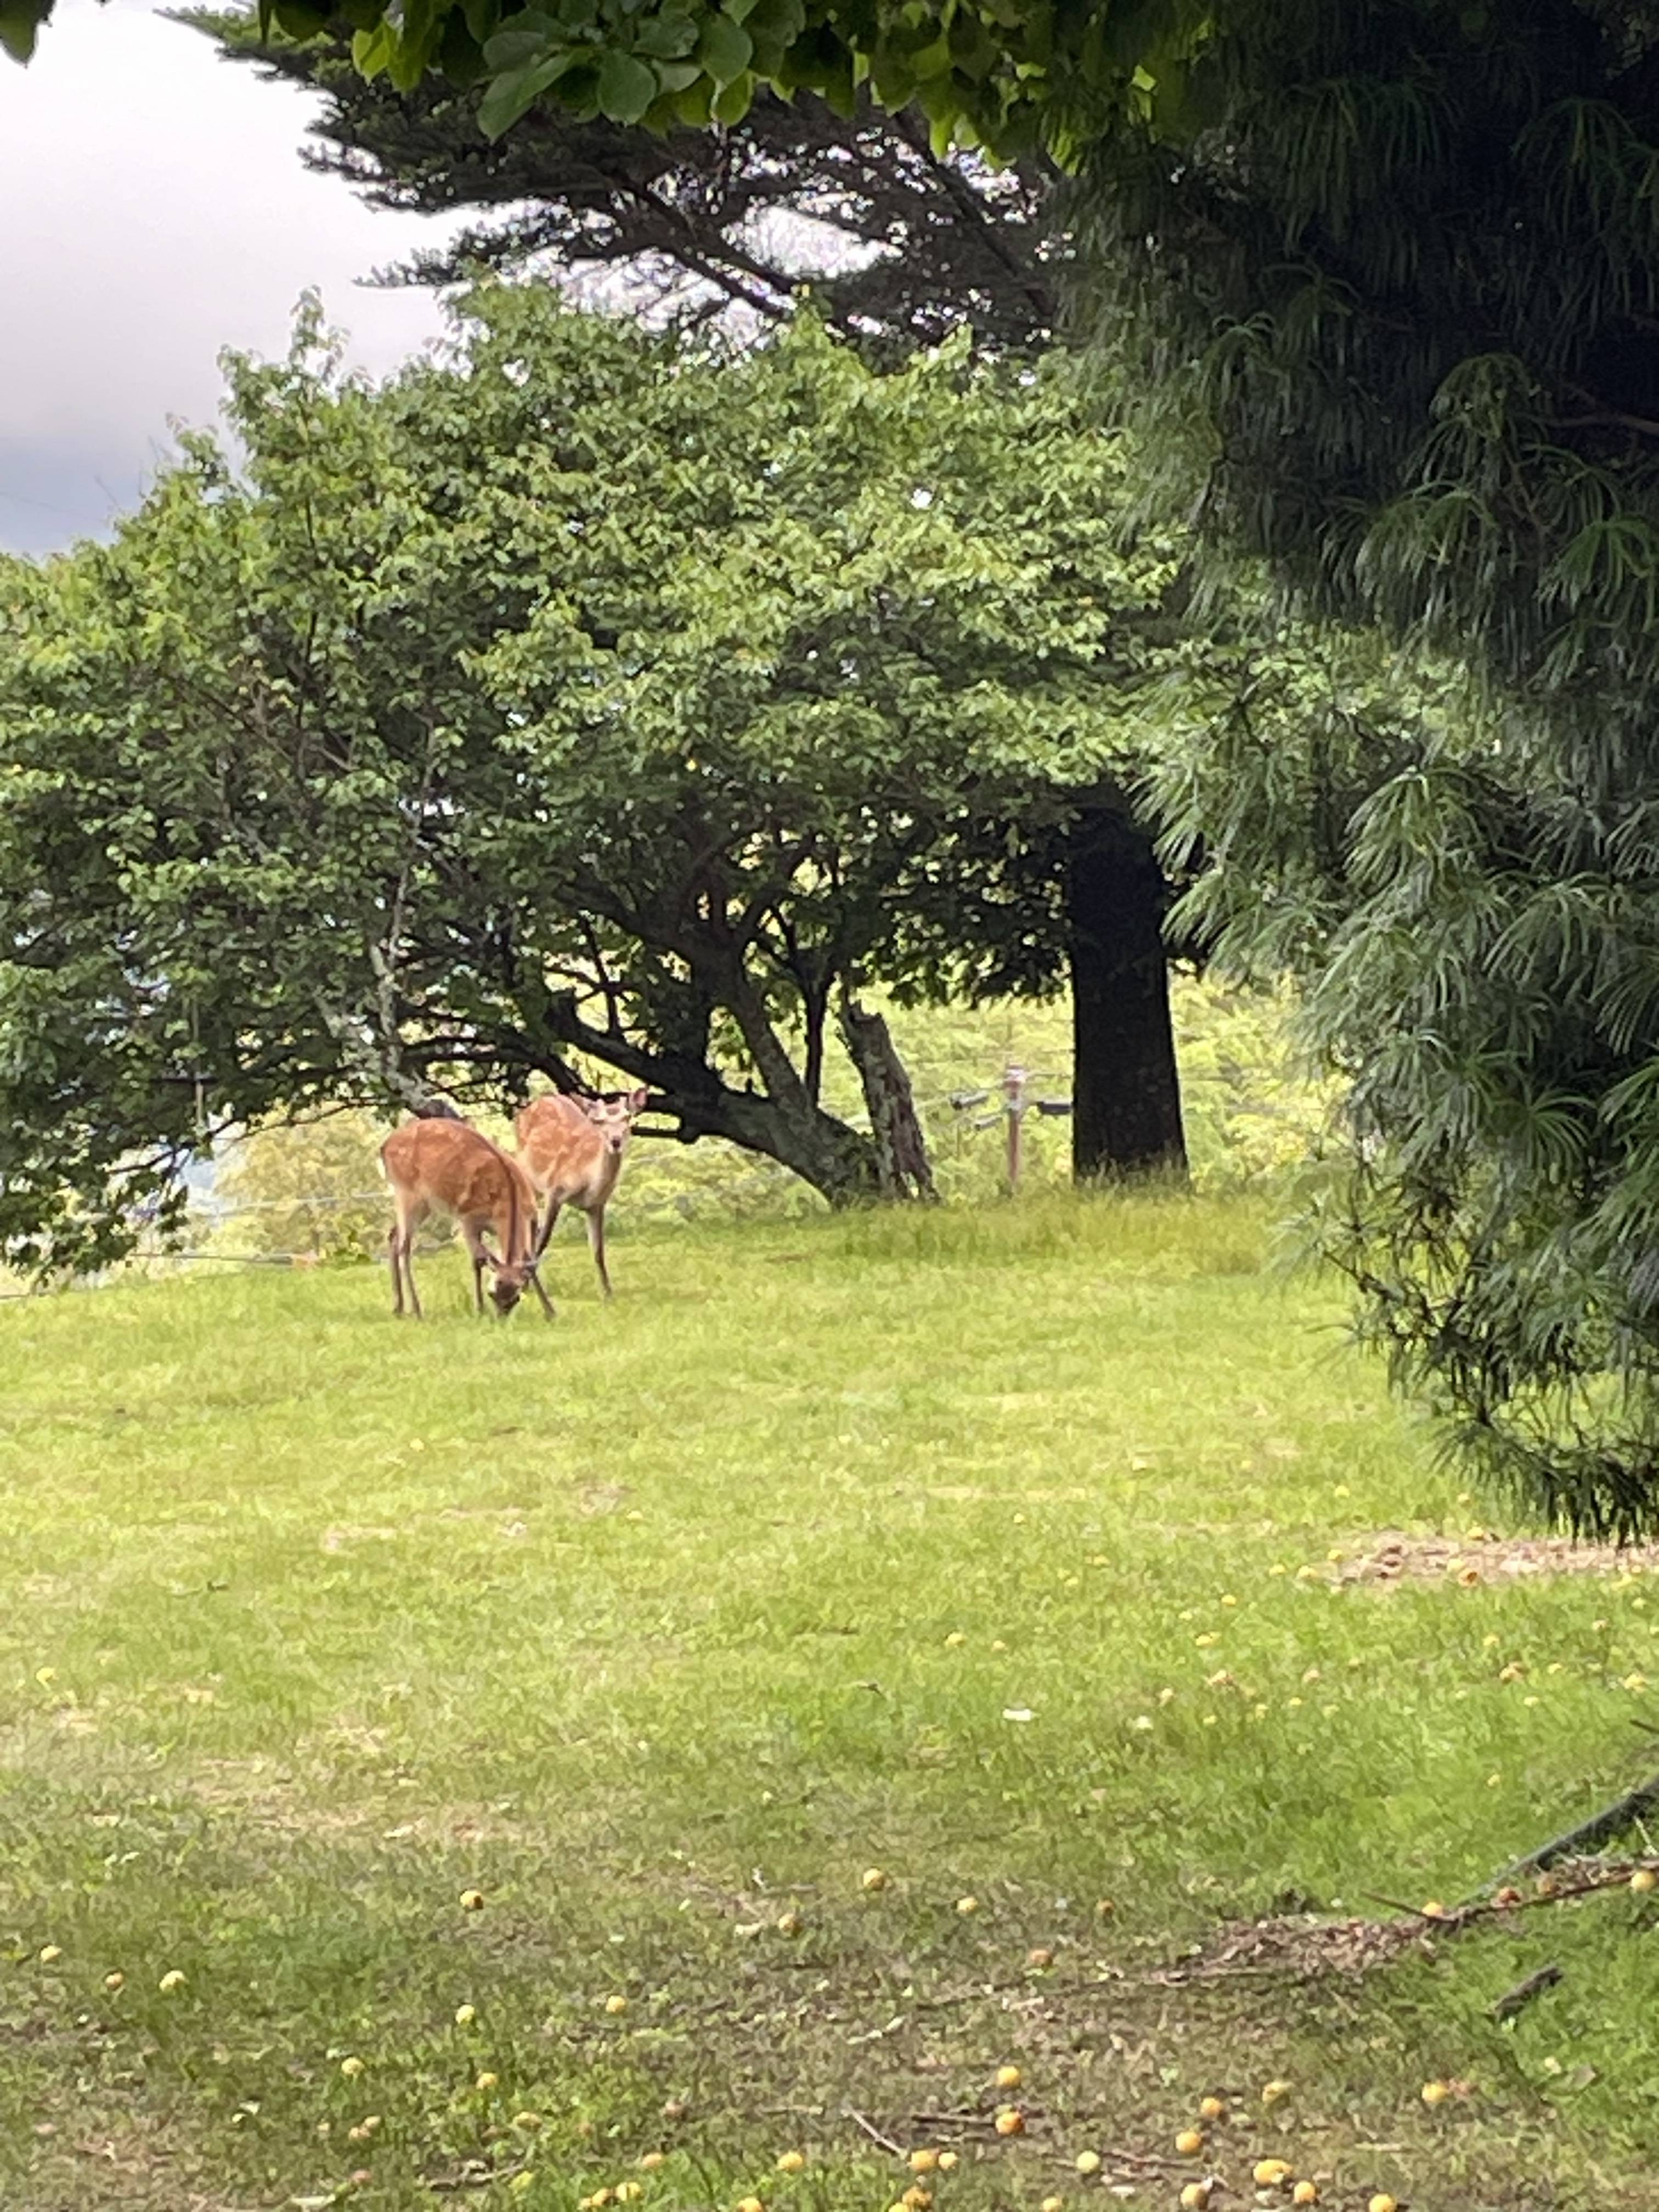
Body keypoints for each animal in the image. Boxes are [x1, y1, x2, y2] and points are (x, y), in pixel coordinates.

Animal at [380, 1115, 555, 1318]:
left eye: (516, 1298)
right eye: (492, 1293)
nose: (501, 1318)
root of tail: (384, 1147)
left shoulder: (533, 1219)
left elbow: (531, 1263)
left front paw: (551, 1311)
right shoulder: (468, 1218)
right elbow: (478, 1260)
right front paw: (479, 1310)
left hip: (422, 1204)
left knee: (393, 1235)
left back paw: (398, 1308)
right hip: (407, 1192)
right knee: (404, 1246)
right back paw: (417, 1310)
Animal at [517, 1088, 654, 1291]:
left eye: (627, 1117)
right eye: (600, 1121)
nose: (615, 1141)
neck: (589, 1182)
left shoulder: (597, 1205)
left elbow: (598, 1250)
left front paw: (608, 1293)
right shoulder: (555, 1190)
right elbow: (544, 1240)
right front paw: (524, 1288)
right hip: (527, 1174)